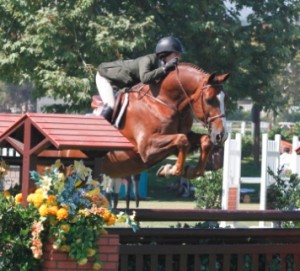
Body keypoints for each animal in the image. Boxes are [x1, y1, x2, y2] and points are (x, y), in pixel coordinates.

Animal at [96, 62, 230, 180]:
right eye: (208, 100)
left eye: (225, 99)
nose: (222, 135)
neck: (164, 102)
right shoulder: (146, 149)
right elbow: (182, 140)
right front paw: (170, 170)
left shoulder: (182, 136)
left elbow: (205, 140)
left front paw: (189, 171)